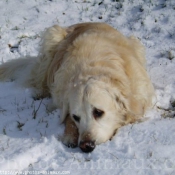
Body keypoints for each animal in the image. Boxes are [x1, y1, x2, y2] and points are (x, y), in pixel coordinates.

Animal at [0, 22, 154, 152]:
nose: (86, 145)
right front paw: (69, 135)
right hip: (51, 40)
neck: (93, 69)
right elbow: (66, 117)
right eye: (76, 117)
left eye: (98, 112)